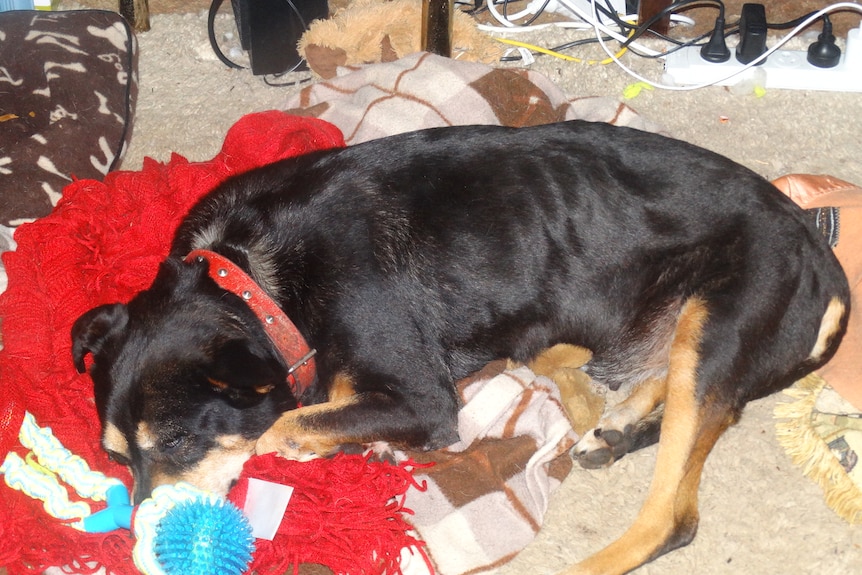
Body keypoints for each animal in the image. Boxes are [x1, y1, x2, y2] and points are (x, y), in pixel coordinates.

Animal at [72, 119, 852, 572]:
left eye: (178, 442)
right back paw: (619, 423)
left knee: (673, 515)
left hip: (718, 321)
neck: (248, 275)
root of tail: (821, 253)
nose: (142, 544)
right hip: (689, 333)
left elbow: (285, 422)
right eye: (114, 455)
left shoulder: (421, 395)